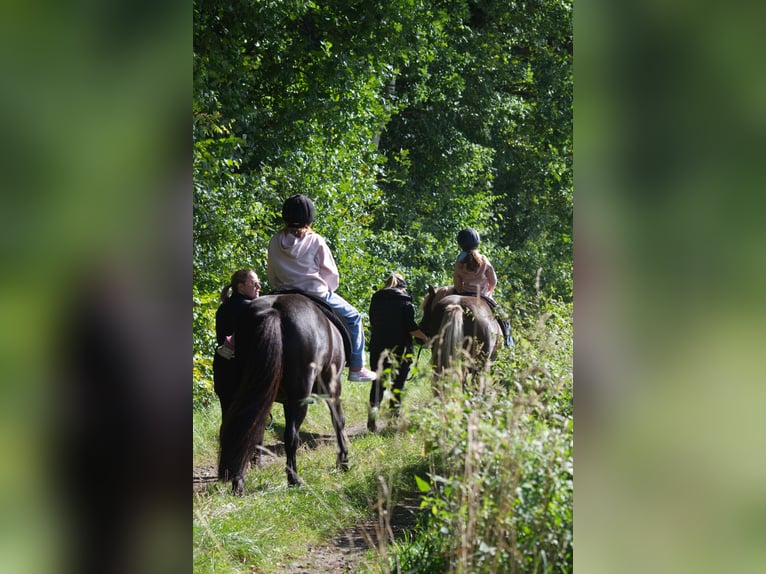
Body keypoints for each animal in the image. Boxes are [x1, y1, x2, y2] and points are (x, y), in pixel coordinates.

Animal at [216, 294, 348, 498]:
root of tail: (274, 310)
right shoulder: (333, 386)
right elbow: (338, 421)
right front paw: (343, 461)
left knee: (243, 431)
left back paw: (238, 482)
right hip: (299, 396)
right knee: (291, 435)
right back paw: (294, 479)